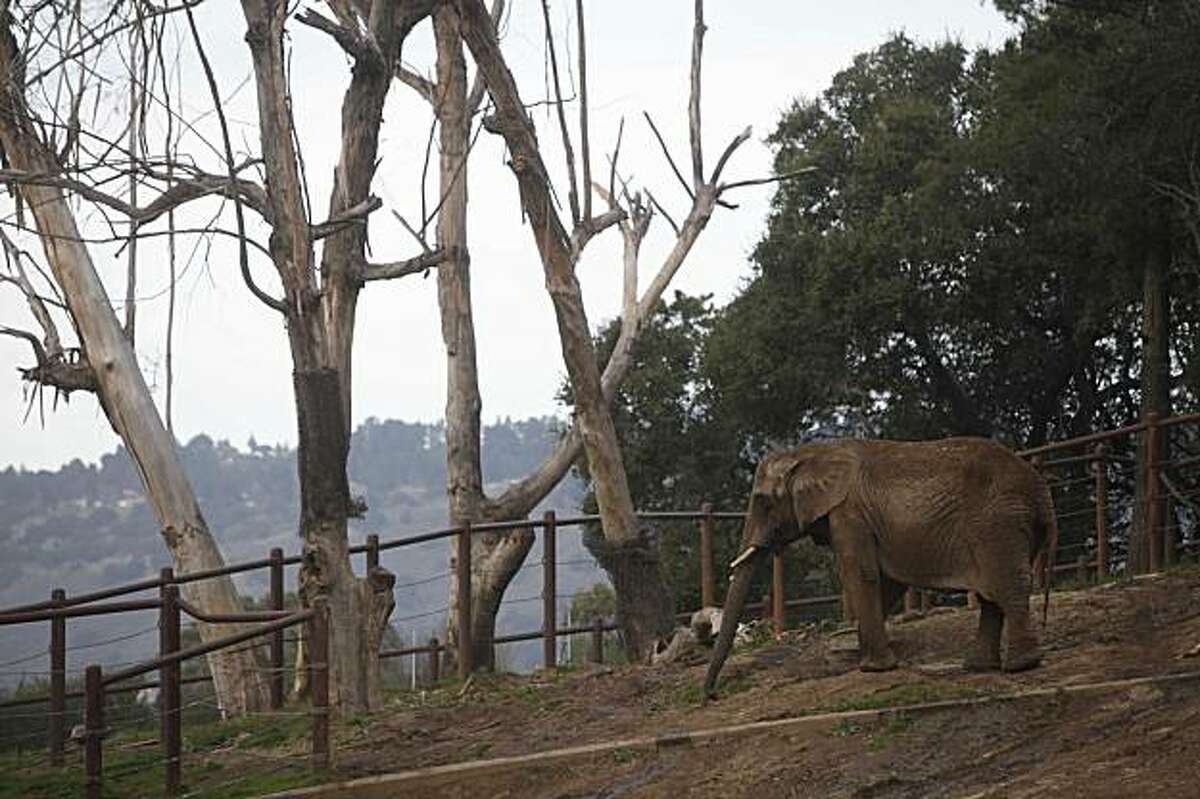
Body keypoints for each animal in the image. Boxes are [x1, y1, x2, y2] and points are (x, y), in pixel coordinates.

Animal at [704, 437, 1058, 698]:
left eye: (763, 502)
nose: (712, 695)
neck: (808, 453)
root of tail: (1042, 492)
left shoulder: (848, 515)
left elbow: (861, 574)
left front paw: (873, 669)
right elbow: (886, 581)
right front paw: (868, 658)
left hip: (998, 523)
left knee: (1006, 587)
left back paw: (1021, 665)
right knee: (991, 596)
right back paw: (978, 666)